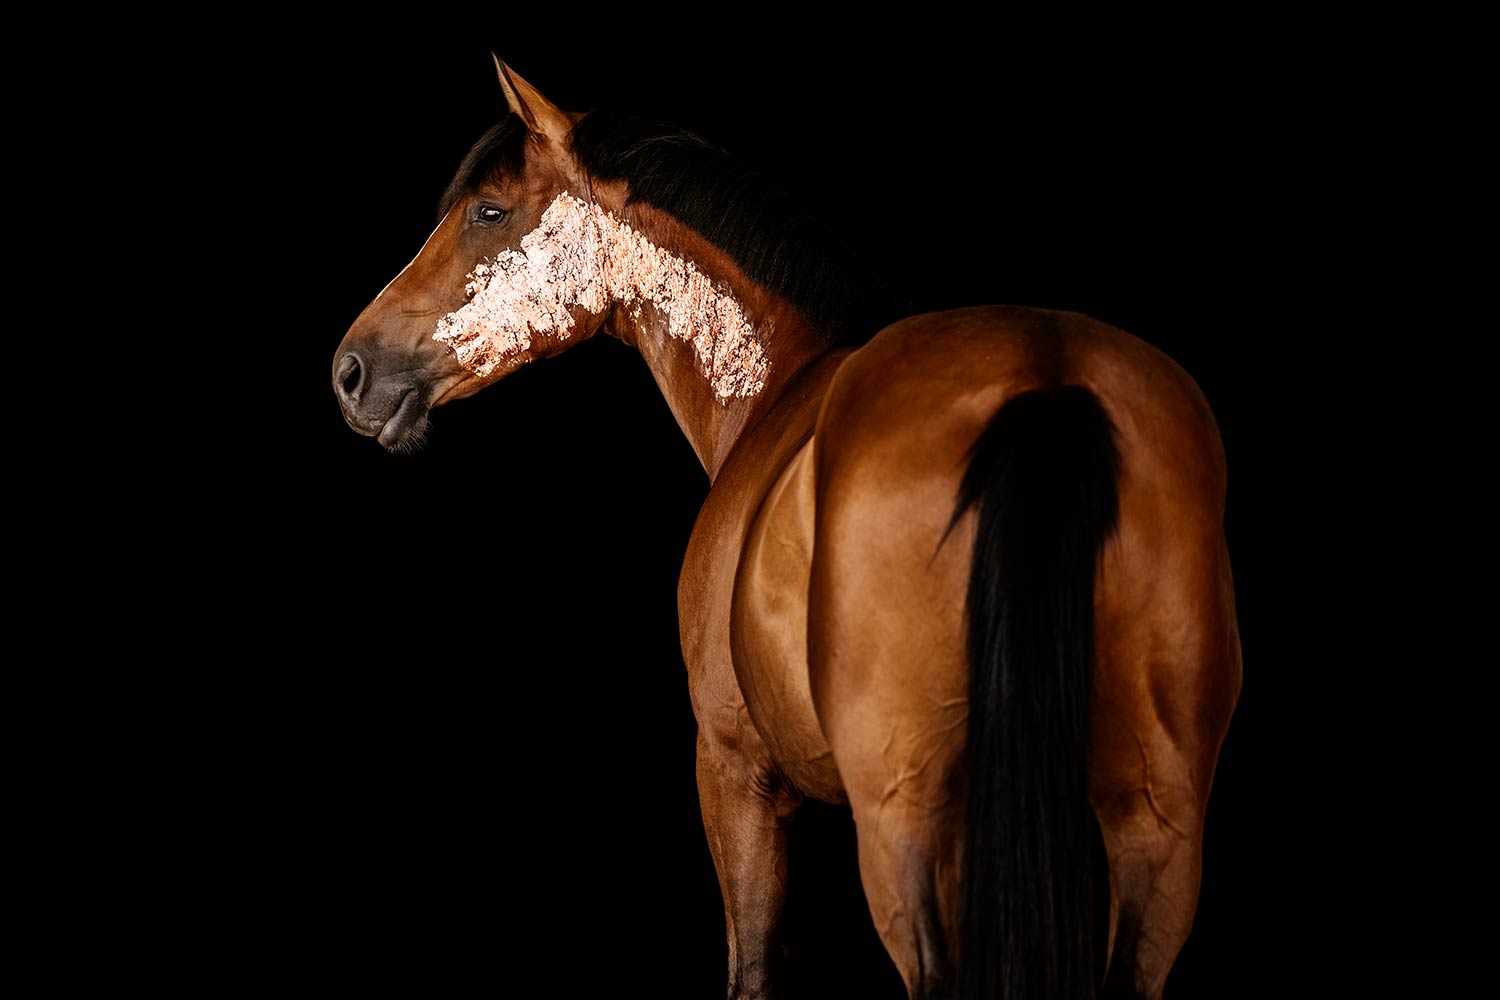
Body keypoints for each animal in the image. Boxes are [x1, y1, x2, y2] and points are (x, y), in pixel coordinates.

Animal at [331, 57, 1241, 1000]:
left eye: (489, 211)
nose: (351, 371)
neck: (782, 383)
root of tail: (1043, 378)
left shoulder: (737, 773)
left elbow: (755, 969)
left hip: (905, 821)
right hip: (1156, 825)